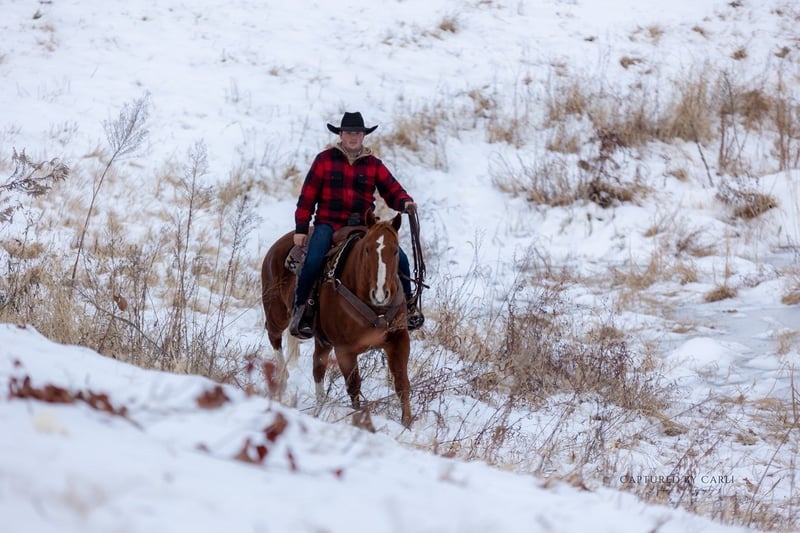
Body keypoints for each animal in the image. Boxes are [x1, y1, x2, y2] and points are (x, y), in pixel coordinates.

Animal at [260, 210, 412, 427]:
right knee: (274, 336)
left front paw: (407, 424)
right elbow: (354, 386)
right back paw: (281, 381)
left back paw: (319, 407)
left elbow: (402, 384)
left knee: (318, 366)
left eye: (395, 251)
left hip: (322, 339)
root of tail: (277, 246)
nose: (380, 293)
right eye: (367, 249)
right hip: (277, 311)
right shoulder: (344, 349)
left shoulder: (399, 340)